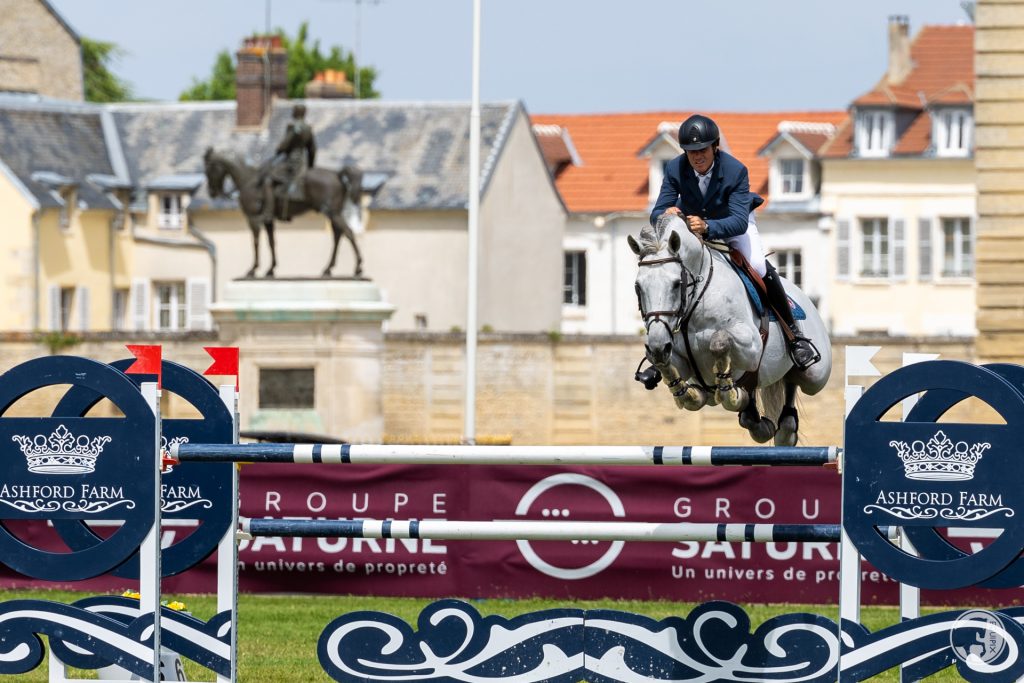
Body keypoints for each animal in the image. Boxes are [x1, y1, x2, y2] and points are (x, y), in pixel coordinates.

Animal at [200, 148, 364, 278]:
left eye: (209, 169)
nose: (212, 192)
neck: (248, 180)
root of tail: (337, 174)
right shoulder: (268, 221)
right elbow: (272, 243)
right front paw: (270, 270)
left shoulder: (253, 219)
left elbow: (256, 242)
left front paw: (253, 269)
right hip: (333, 213)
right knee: (338, 236)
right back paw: (328, 269)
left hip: (332, 213)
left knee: (348, 233)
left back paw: (357, 267)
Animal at [622, 215, 831, 448]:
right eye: (638, 287)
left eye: (677, 284)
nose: (658, 346)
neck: (697, 300)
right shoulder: (677, 359)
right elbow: (671, 370)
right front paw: (692, 393)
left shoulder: (752, 346)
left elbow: (719, 341)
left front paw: (725, 388)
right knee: (765, 394)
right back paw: (757, 420)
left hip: (816, 377)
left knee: (794, 378)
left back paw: (785, 423)